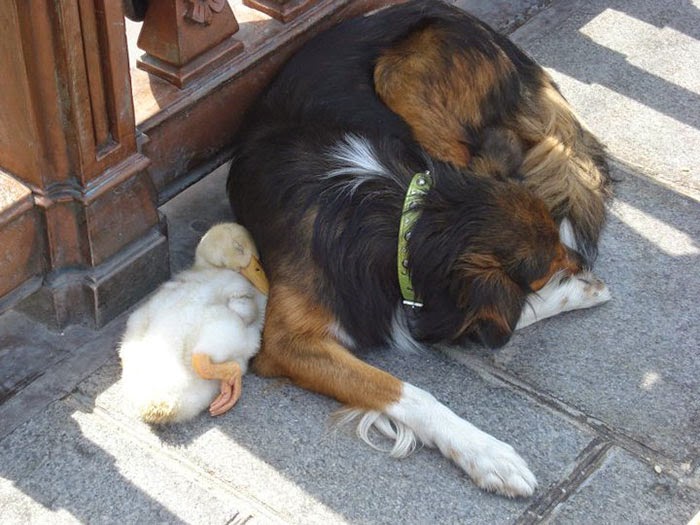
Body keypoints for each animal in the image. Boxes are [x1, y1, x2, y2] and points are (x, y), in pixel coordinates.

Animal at [227, 0, 608, 498]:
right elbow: (417, 384)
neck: (406, 221)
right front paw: (488, 454)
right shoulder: (285, 344)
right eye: (544, 269)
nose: (581, 261)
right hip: (401, 79)